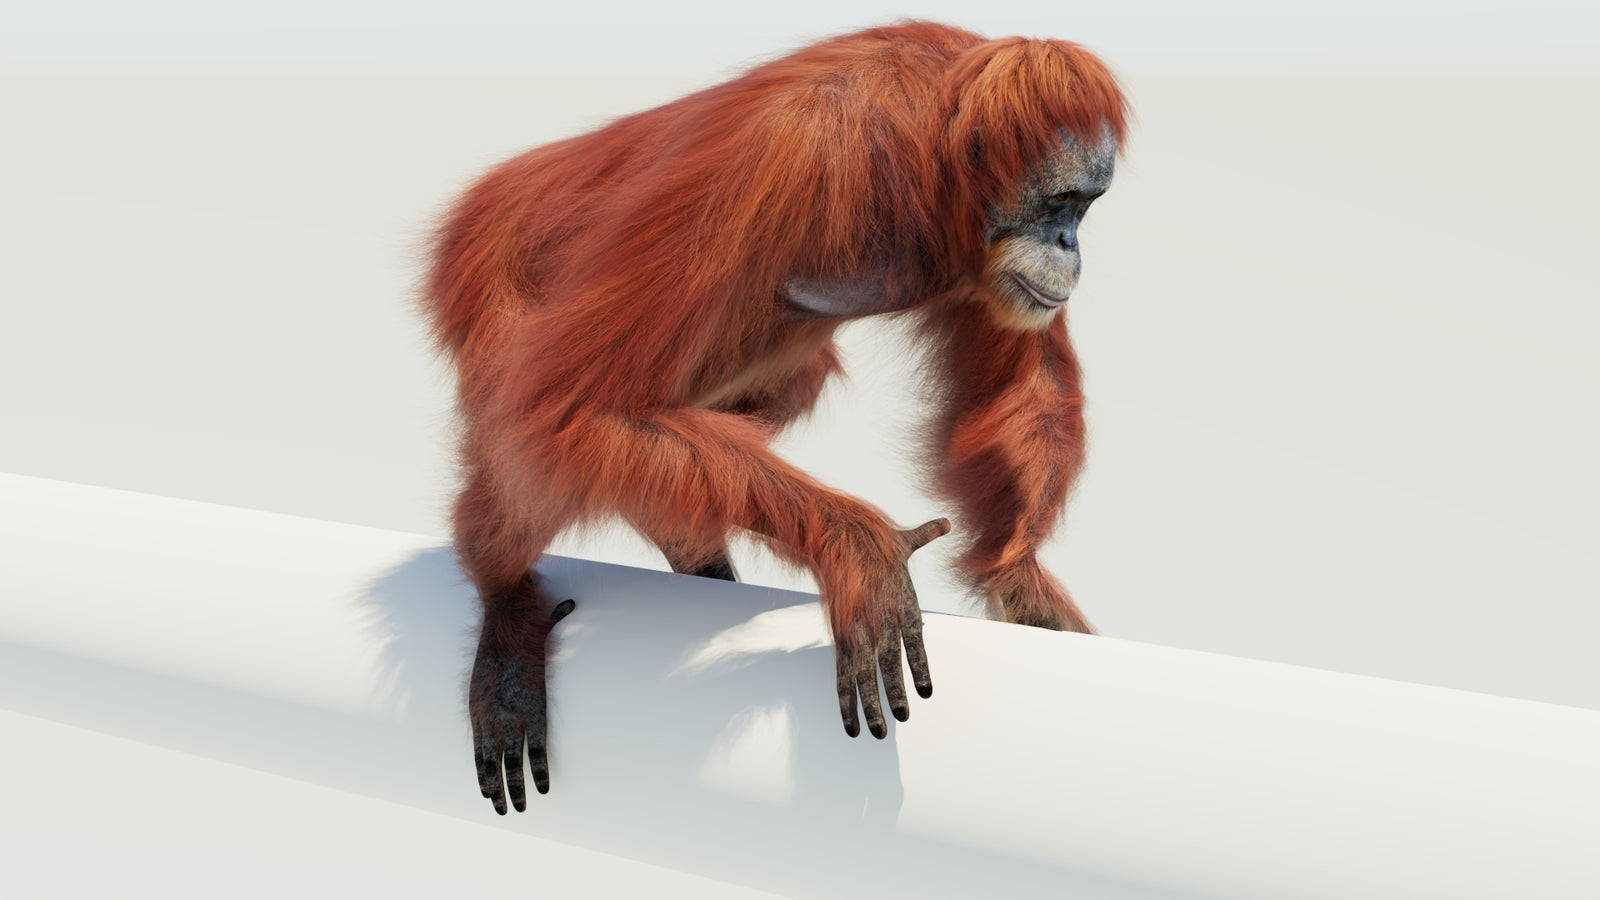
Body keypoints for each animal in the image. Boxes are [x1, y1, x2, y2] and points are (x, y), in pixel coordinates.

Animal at [423, 20, 1126, 814]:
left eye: (1086, 206)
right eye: (1058, 202)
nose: (1070, 245)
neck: (930, 147)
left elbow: (1023, 380)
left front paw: (1019, 577)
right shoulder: (792, 155)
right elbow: (566, 402)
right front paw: (857, 548)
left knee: (780, 384)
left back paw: (683, 543)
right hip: (488, 276)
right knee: (529, 429)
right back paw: (504, 602)